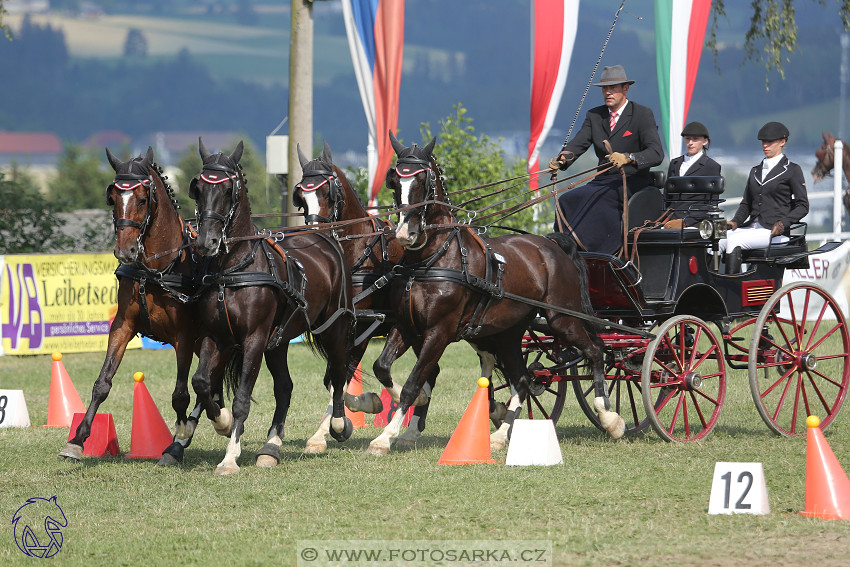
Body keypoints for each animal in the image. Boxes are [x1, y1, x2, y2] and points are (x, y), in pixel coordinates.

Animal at [60, 148, 210, 466]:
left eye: (142, 199)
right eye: (113, 198)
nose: (125, 251)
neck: (154, 269)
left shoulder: (183, 336)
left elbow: (180, 393)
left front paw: (177, 440)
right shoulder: (122, 326)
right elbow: (102, 382)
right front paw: (77, 440)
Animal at [187, 139, 352, 474]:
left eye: (228, 189)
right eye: (198, 188)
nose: (206, 242)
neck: (235, 268)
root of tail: (323, 236)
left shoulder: (255, 339)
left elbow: (242, 399)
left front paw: (230, 458)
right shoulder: (216, 335)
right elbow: (201, 382)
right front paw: (222, 422)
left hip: (332, 326)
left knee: (339, 372)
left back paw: (339, 426)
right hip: (280, 340)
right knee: (285, 387)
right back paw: (271, 446)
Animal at [294, 141, 438, 448]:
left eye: (328, 192)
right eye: (301, 196)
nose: (314, 235)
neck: (356, 252)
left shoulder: (361, 326)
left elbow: (343, 374)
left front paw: (349, 417)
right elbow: (333, 378)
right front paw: (327, 430)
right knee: (431, 371)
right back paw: (412, 427)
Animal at [364, 133, 624, 458]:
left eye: (424, 180)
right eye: (395, 181)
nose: (404, 233)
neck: (430, 260)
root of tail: (551, 244)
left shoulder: (439, 332)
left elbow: (414, 382)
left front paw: (385, 436)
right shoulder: (406, 326)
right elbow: (383, 367)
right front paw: (400, 418)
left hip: (561, 319)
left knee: (595, 351)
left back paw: (610, 418)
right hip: (509, 333)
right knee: (522, 380)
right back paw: (500, 436)